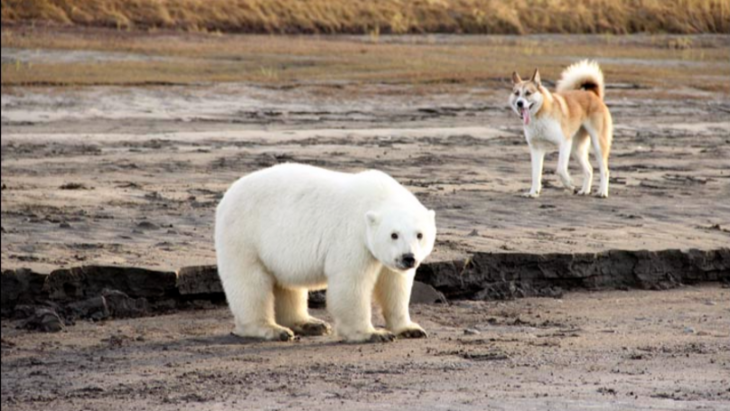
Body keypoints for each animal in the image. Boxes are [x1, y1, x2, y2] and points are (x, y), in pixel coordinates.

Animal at [213, 163, 436, 342]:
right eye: (394, 234)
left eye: (419, 234)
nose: (408, 258)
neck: (377, 197)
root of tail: (228, 194)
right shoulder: (352, 237)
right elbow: (351, 284)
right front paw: (373, 334)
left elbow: (395, 285)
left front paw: (411, 329)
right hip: (244, 235)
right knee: (249, 283)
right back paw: (272, 329)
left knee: (287, 284)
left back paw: (310, 324)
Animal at [510, 60, 612, 200]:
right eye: (516, 93)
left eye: (528, 93)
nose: (519, 103)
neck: (539, 114)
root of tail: (592, 94)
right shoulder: (536, 149)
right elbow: (536, 174)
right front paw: (533, 192)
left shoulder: (564, 143)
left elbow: (560, 169)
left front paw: (569, 184)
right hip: (576, 150)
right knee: (589, 170)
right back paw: (585, 191)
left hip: (597, 145)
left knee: (604, 171)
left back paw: (602, 192)